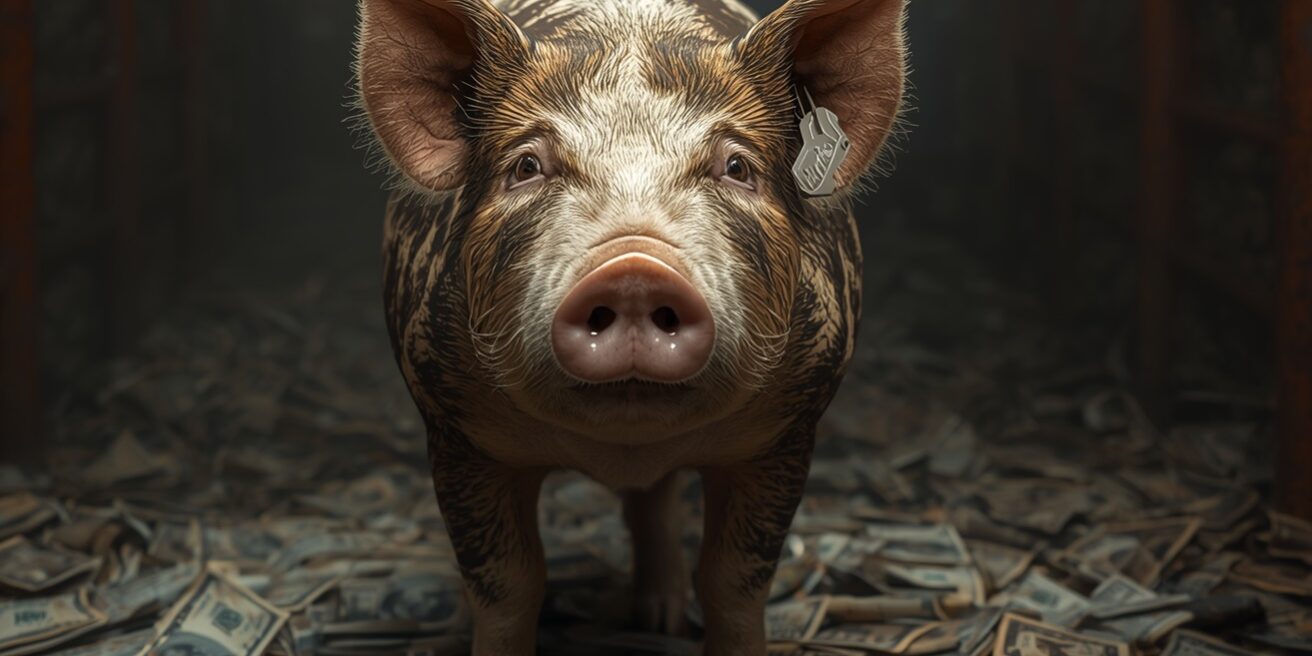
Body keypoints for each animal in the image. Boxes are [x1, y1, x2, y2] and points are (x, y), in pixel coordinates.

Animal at [355, 0, 906, 653]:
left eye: (737, 166)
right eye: (527, 165)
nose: (634, 269)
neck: (622, 446)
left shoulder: (788, 428)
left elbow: (735, 581)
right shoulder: (453, 424)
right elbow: (509, 585)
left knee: (656, 500)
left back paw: (660, 621)